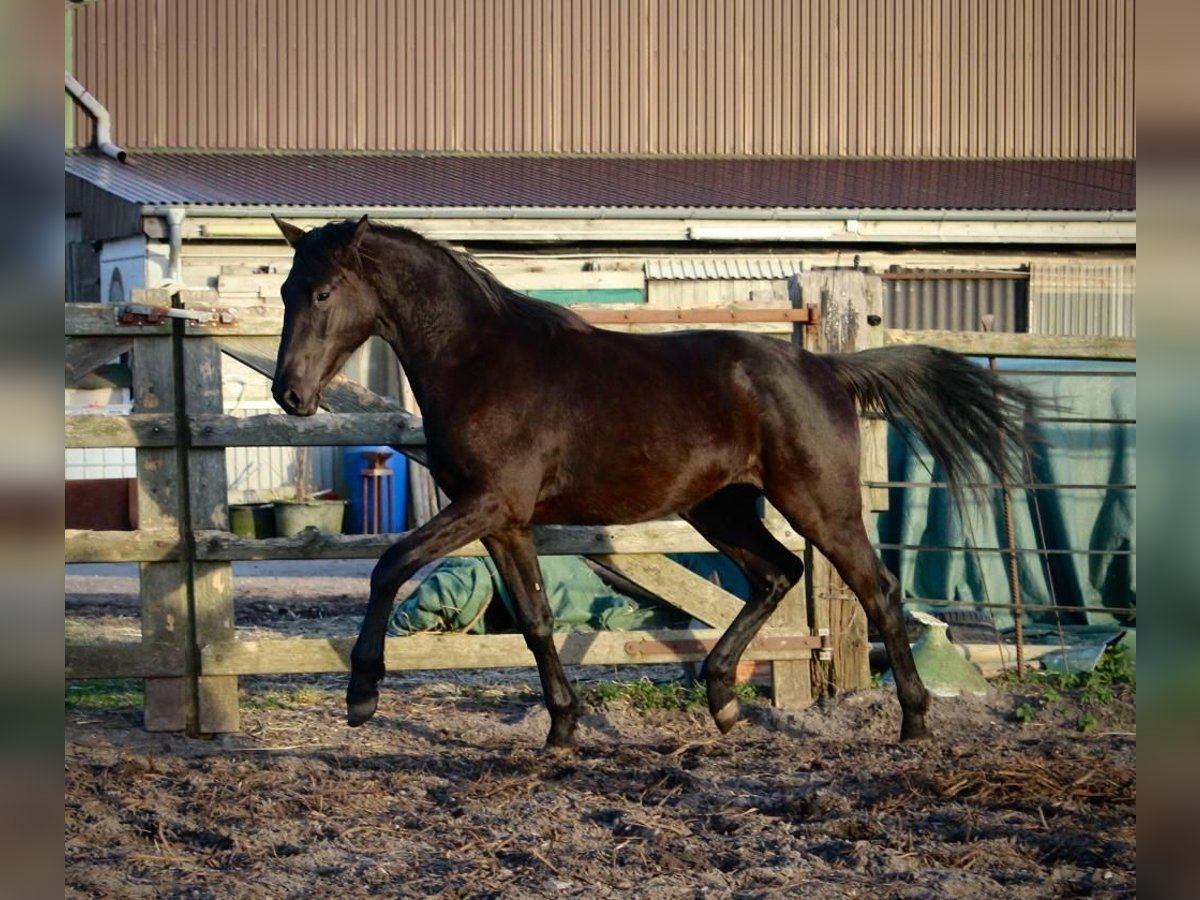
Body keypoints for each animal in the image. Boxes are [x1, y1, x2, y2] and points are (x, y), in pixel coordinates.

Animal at [267, 214, 1036, 748]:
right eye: (283, 290)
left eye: (324, 291)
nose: (289, 394)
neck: (481, 360)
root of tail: (826, 368)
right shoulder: (504, 520)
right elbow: (536, 618)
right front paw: (562, 729)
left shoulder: (489, 503)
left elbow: (389, 564)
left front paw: (362, 696)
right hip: (721, 509)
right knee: (777, 574)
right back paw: (723, 700)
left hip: (820, 504)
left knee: (876, 589)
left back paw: (914, 723)